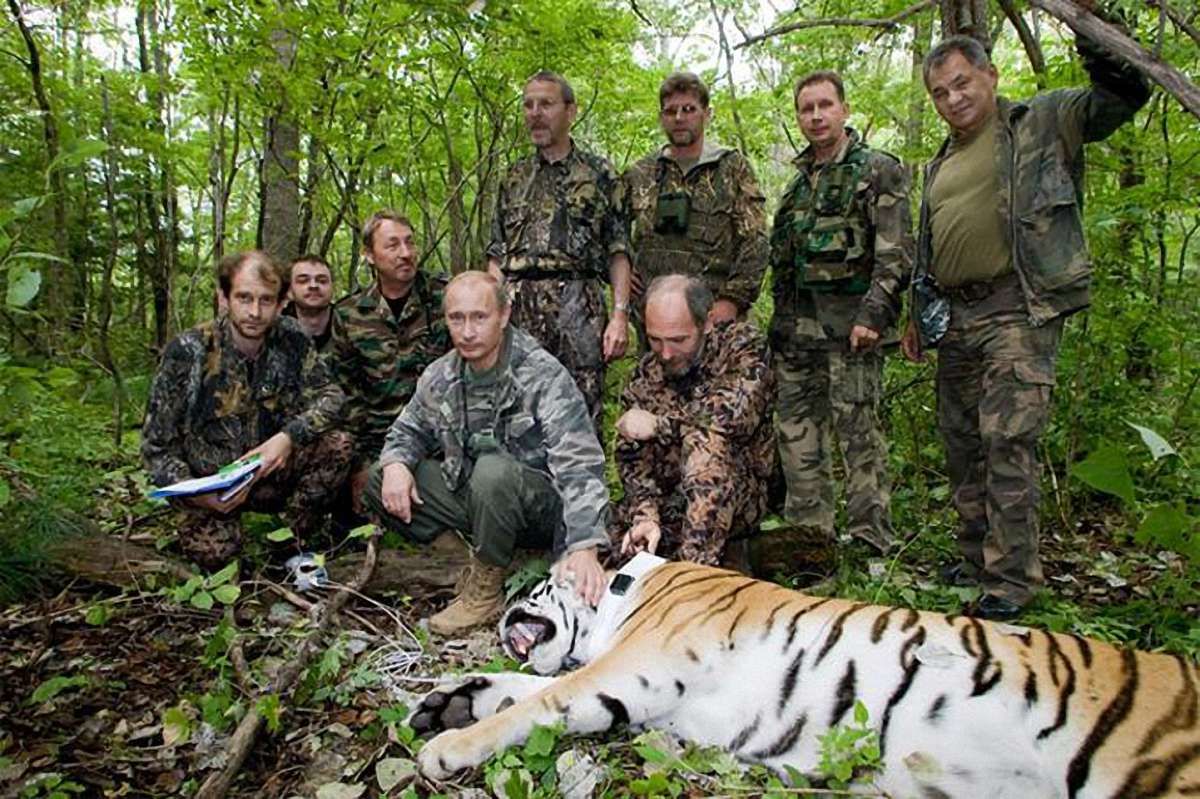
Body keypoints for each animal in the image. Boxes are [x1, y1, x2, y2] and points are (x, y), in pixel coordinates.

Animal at [410, 553, 1200, 797]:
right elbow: (524, 687)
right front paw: (445, 703)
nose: (503, 607)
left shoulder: (637, 667)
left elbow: (540, 698)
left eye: (538, 584)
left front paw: (444, 748)